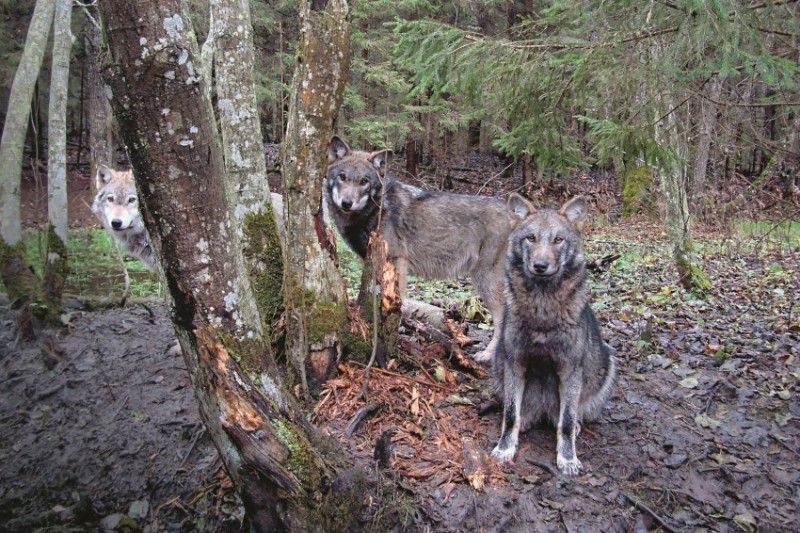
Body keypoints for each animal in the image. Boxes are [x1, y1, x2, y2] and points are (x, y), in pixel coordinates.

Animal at [324, 136, 516, 362]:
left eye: (364, 181)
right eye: (342, 177)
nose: (347, 203)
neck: (375, 210)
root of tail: (517, 216)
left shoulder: (398, 262)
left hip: (485, 281)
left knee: (502, 318)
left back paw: (488, 355)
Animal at [490, 193, 616, 476]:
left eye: (558, 240)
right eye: (531, 238)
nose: (540, 265)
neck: (542, 308)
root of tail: (544, 412)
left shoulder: (569, 369)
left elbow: (566, 422)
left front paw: (567, 458)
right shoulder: (515, 363)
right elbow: (511, 415)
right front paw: (505, 448)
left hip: (607, 365)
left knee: (572, 414)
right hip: (498, 364)